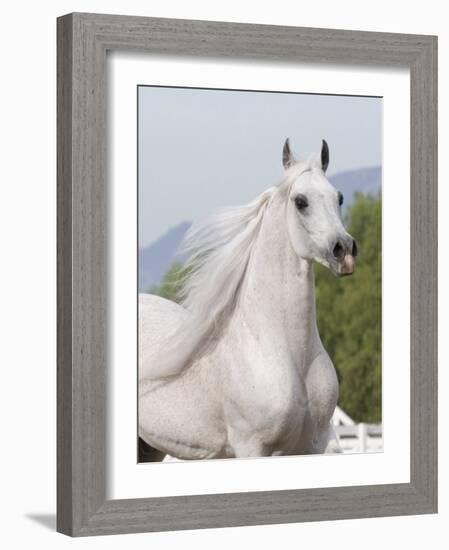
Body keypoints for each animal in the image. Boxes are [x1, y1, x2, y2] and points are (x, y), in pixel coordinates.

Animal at [138, 140, 356, 464]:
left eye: (338, 197)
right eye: (300, 201)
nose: (345, 250)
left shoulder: (318, 443)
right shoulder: (251, 447)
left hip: (149, 447)